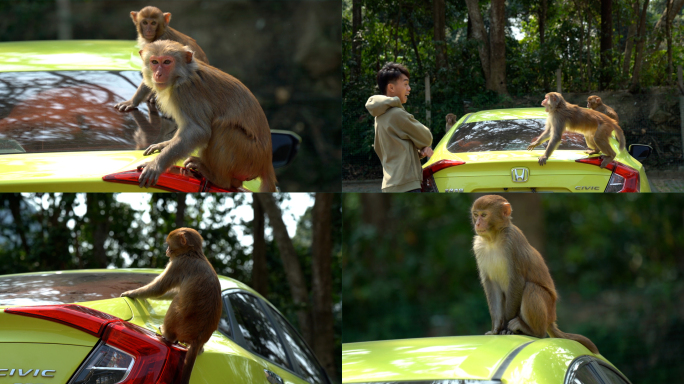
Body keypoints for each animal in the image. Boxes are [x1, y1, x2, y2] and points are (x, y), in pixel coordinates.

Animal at [120, 228, 222, 384]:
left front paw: (131, 293)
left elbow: (159, 288)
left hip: (180, 325)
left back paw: (166, 334)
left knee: (176, 302)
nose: (167, 250)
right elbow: (171, 291)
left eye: (168, 244)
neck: (193, 253)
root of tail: (197, 339)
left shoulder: (179, 264)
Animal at [136, 39, 276, 192]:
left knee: (223, 129)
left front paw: (156, 165)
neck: (183, 75)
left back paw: (218, 178)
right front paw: (164, 144)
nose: (158, 74)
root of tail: (266, 162)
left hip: (248, 157)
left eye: (167, 62)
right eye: (154, 62)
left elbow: (198, 130)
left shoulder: (186, 92)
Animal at [470, 196, 600, 356]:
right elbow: (491, 285)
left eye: (484, 215)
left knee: (531, 288)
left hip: (548, 307)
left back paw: (534, 331)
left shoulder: (512, 242)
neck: (493, 239)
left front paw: (505, 327)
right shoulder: (478, 246)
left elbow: (517, 281)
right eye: (476, 215)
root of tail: (551, 319)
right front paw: (495, 329)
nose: (477, 223)